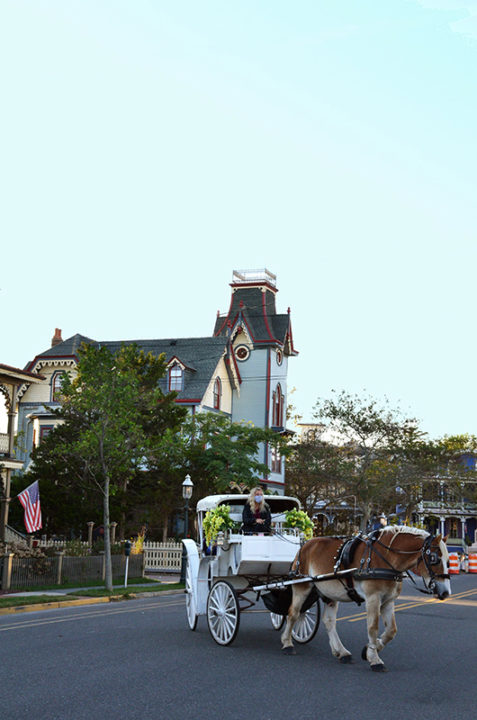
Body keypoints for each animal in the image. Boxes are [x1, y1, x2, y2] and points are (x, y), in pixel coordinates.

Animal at [280, 524, 448, 672]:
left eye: (448, 560)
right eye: (434, 558)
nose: (445, 592)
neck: (386, 559)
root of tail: (305, 545)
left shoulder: (388, 600)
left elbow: (391, 630)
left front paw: (369, 650)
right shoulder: (373, 598)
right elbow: (373, 627)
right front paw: (375, 659)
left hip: (329, 593)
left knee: (329, 621)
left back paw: (342, 652)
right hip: (302, 586)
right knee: (293, 613)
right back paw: (287, 644)